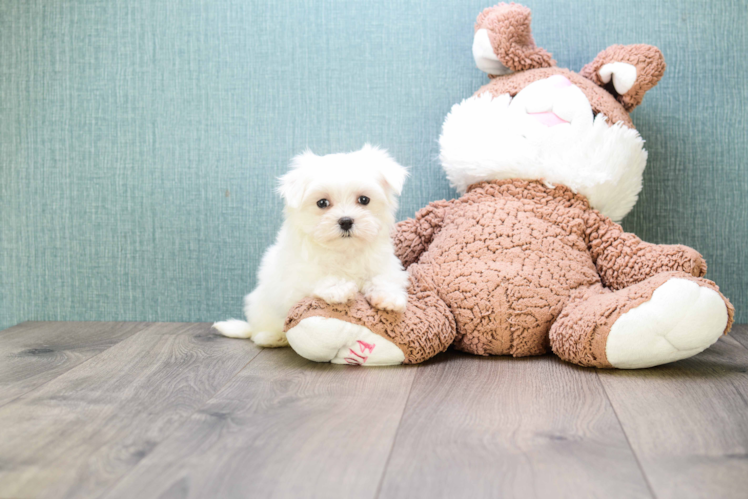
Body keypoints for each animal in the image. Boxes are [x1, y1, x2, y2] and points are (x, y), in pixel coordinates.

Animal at [213, 145, 412, 348]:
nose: (346, 221)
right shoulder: (294, 278)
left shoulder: (385, 262)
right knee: (260, 332)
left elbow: (385, 276)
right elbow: (317, 278)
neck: (343, 250)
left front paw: (389, 296)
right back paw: (271, 337)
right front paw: (339, 288)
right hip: (261, 307)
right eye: (322, 203)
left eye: (364, 200)